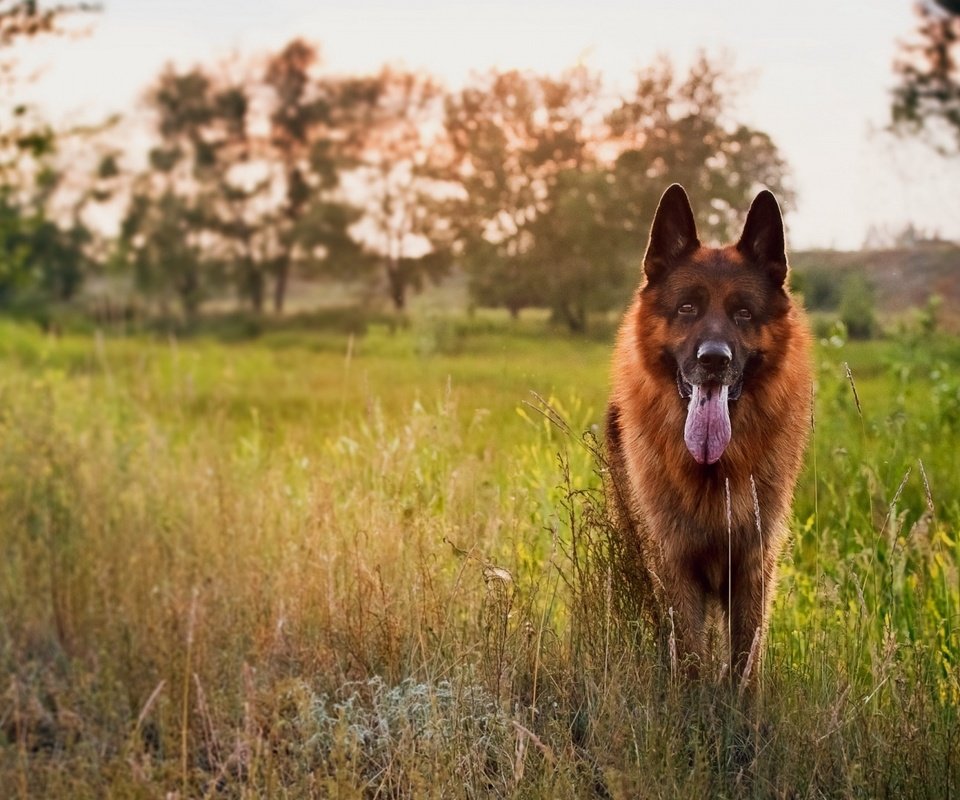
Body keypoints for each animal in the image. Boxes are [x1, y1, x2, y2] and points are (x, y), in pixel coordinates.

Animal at [608, 184, 808, 684]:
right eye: (687, 308)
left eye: (743, 313)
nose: (714, 359)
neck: (715, 470)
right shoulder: (676, 569)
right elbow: (692, 660)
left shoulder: (753, 570)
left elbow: (744, 666)